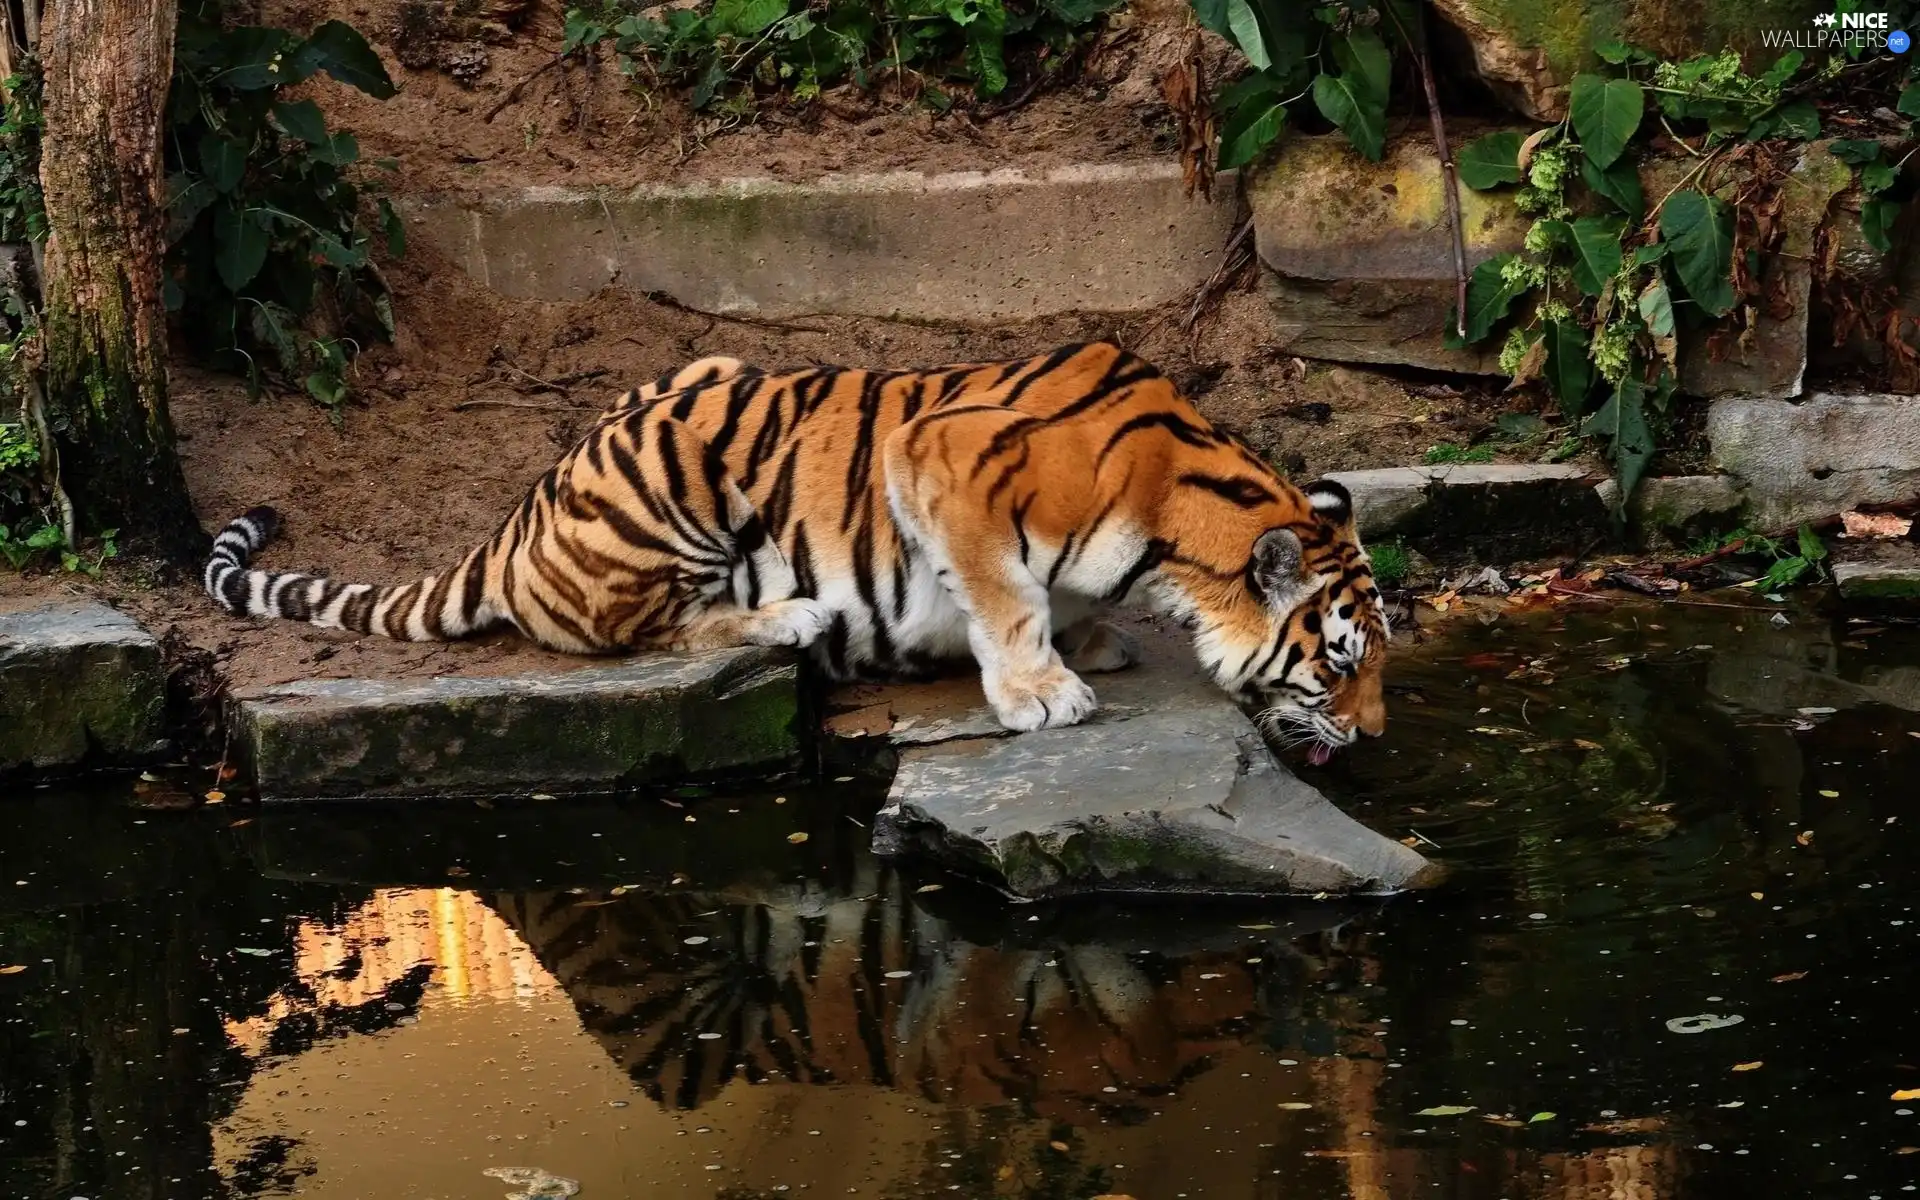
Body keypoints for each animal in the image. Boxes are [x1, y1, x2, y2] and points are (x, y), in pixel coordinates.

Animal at [202, 339, 1390, 748]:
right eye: (1338, 667)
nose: (1375, 737)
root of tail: (518, 516)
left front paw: (1088, 640)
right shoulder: (943, 459)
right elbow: (1005, 596)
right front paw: (1041, 689)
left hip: (703, 370)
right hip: (672, 469)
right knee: (641, 634)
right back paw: (791, 615)